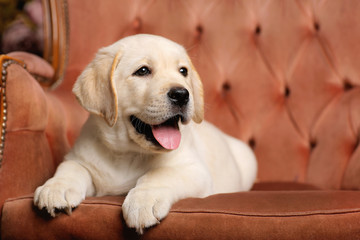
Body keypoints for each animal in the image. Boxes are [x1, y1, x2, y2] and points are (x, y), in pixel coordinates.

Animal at [33, 34, 258, 234]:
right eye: (142, 71)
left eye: (183, 71)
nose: (182, 94)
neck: (127, 153)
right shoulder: (79, 158)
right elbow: (70, 168)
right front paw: (56, 188)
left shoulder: (194, 170)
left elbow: (160, 174)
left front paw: (143, 202)